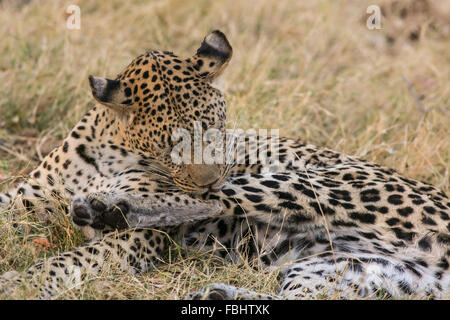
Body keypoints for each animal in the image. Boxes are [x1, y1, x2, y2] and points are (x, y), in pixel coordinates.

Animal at [0, 30, 448, 300]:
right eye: (170, 145)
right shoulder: (26, 197)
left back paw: (104, 207)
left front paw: (23, 281)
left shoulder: (141, 239)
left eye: (217, 126)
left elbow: (75, 258)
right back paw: (216, 294)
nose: (211, 178)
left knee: (218, 203)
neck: (111, 151)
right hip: (351, 272)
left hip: (314, 183)